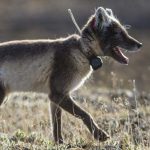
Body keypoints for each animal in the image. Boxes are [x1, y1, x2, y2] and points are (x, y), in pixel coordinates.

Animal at [0, 7, 142, 144]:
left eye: (125, 32)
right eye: (118, 33)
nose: (140, 45)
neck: (83, 52)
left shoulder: (56, 97)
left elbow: (56, 125)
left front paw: (60, 143)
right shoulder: (58, 94)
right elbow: (85, 114)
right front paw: (99, 135)